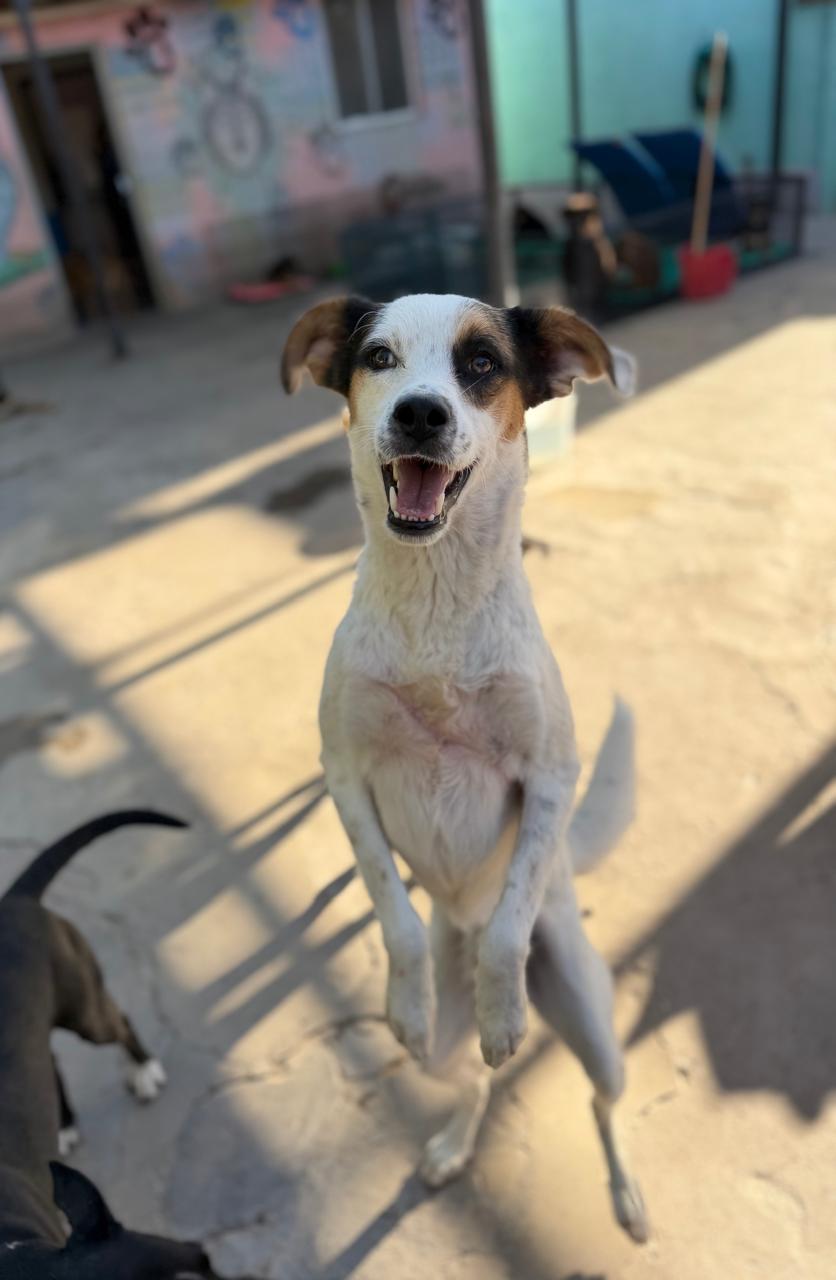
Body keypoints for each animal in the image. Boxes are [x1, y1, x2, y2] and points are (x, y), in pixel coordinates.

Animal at [0, 811, 228, 1277]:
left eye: (203, 1259)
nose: (212, 1259)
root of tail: (14, 900)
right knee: (49, 1056)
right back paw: (65, 1123)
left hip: (85, 1010)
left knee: (118, 1023)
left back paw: (142, 1069)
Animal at [282, 293, 647, 1242]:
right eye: (378, 357)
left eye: (482, 363)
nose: (421, 414)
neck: (436, 606)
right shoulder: (346, 777)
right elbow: (396, 919)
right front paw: (405, 1006)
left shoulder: (552, 777)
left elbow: (510, 930)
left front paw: (505, 1005)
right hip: (447, 1057)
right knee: (471, 1077)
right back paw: (449, 1142)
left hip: (598, 1029)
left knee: (599, 1100)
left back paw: (626, 1191)